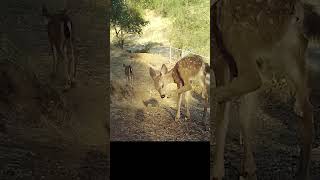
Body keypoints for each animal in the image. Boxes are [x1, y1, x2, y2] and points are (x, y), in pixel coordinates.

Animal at [209, 0, 320, 180]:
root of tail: (298, 10)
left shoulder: (220, 59)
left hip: (239, 29)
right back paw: (301, 173)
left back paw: (210, 94)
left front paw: (218, 172)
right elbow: (245, 116)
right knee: (306, 110)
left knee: (252, 79)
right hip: (293, 53)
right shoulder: (255, 63)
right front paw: (249, 168)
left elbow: (224, 118)